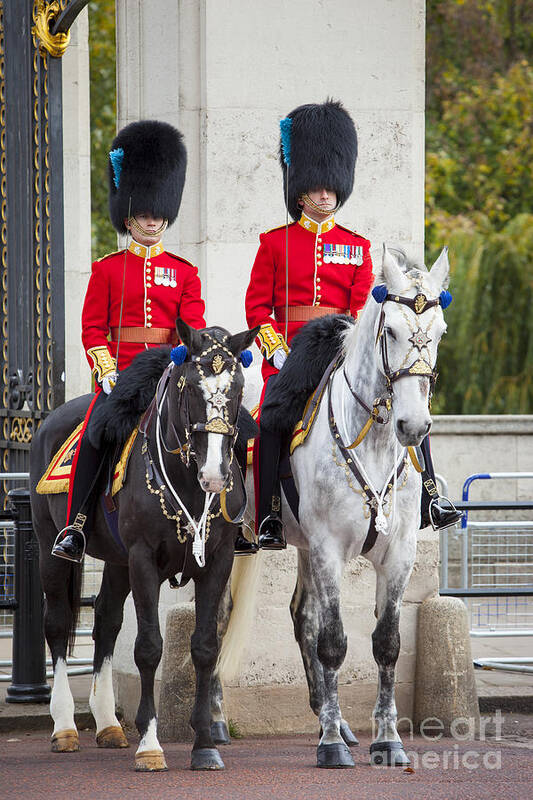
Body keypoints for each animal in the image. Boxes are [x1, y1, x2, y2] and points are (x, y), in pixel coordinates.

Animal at [30, 318, 258, 768]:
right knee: (59, 622)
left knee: (105, 619)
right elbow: (149, 647)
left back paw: (107, 725)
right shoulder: (143, 560)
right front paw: (150, 745)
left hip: (117, 561)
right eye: (191, 388)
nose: (214, 476)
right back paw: (64, 725)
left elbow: (205, 647)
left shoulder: (218, 561)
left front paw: (204, 744)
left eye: (239, 389)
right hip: (53, 547)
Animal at [220, 244, 448, 768]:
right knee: (218, 619)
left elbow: (386, 644)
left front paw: (386, 739)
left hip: (302, 546)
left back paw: (335, 719)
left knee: (301, 615)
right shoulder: (328, 549)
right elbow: (333, 643)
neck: (375, 440)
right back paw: (216, 721)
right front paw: (328, 746)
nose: (413, 426)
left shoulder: (399, 554)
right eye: (391, 331)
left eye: (441, 332)